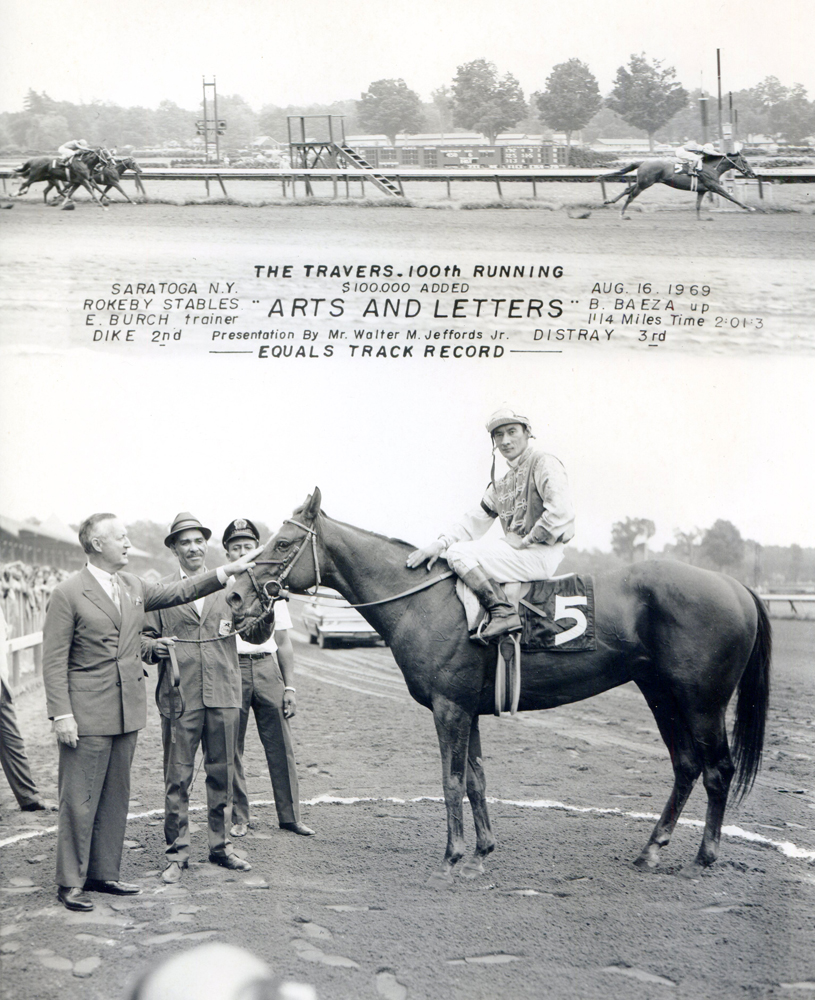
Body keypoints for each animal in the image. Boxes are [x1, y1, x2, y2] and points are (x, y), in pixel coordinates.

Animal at [225, 488, 772, 888]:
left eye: (280, 544)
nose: (232, 594)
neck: (423, 601)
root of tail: (735, 585)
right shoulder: (468, 708)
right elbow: (476, 781)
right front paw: (481, 852)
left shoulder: (448, 708)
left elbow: (450, 782)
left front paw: (452, 857)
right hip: (660, 695)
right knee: (686, 766)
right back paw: (651, 851)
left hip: (702, 702)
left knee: (717, 770)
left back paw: (704, 857)